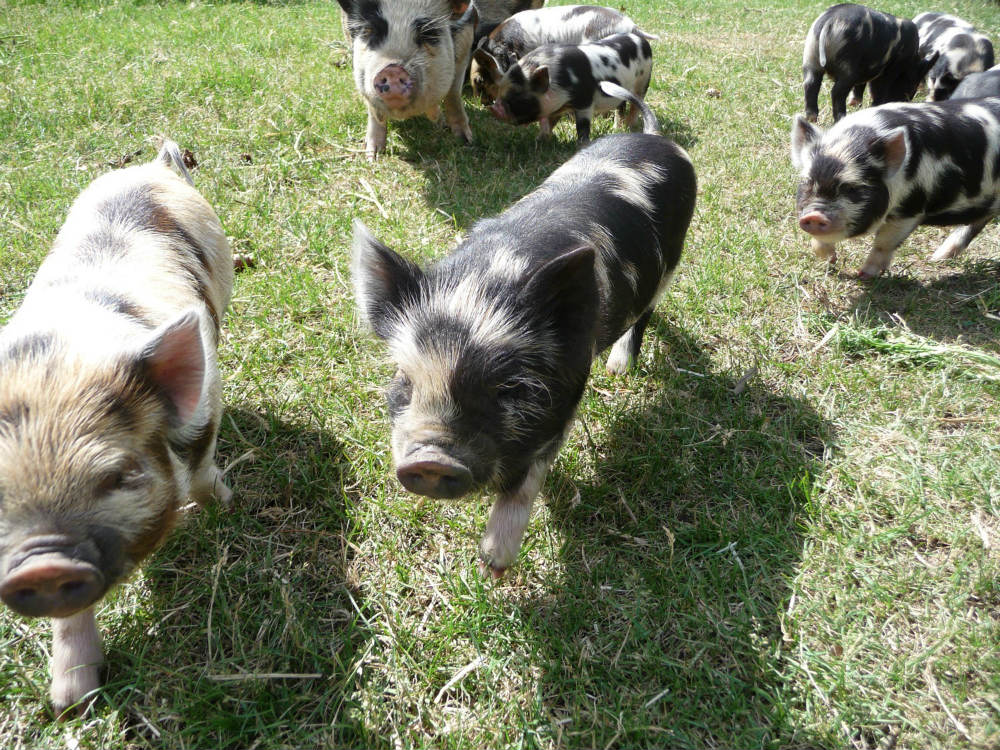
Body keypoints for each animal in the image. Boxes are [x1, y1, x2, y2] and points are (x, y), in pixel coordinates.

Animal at [340, 0, 480, 159]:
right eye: (368, 31)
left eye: (428, 33)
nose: (392, 69)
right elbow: (372, 108)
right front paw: (372, 155)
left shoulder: (466, 36)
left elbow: (453, 93)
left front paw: (466, 139)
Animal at [352, 108, 696, 580]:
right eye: (404, 379)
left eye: (510, 388)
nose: (431, 458)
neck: (485, 281)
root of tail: (656, 139)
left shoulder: (567, 390)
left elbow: (526, 479)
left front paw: (491, 567)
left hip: (671, 263)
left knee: (646, 312)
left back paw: (619, 368)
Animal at [478, 30, 652, 143]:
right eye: (500, 92)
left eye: (518, 95)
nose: (494, 108)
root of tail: (640, 38)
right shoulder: (556, 107)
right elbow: (549, 123)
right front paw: (540, 140)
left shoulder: (585, 101)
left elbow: (582, 127)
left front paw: (582, 145)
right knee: (621, 106)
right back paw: (618, 128)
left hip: (644, 80)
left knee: (636, 104)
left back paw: (629, 127)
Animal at [788, 97, 1000, 280]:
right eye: (807, 182)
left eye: (850, 187)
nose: (814, 215)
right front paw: (830, 261)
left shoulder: (911, 210)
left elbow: (884, 242)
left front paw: (864, 275)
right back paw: (938, 258)